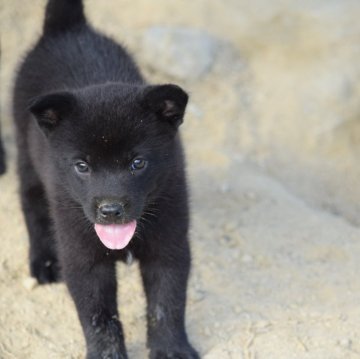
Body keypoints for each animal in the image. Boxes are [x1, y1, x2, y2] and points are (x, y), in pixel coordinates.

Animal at [13, 1, 200, 358]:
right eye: (82, 166)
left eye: (138, 163)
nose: (111, 210)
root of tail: (68, 28)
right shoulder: (83, 257)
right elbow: (99, 315)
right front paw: (107, 354)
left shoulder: (169, 245)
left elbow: (166, 303)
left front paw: (171, 349)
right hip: (26, 154)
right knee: (31, 202)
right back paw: (44, 261)